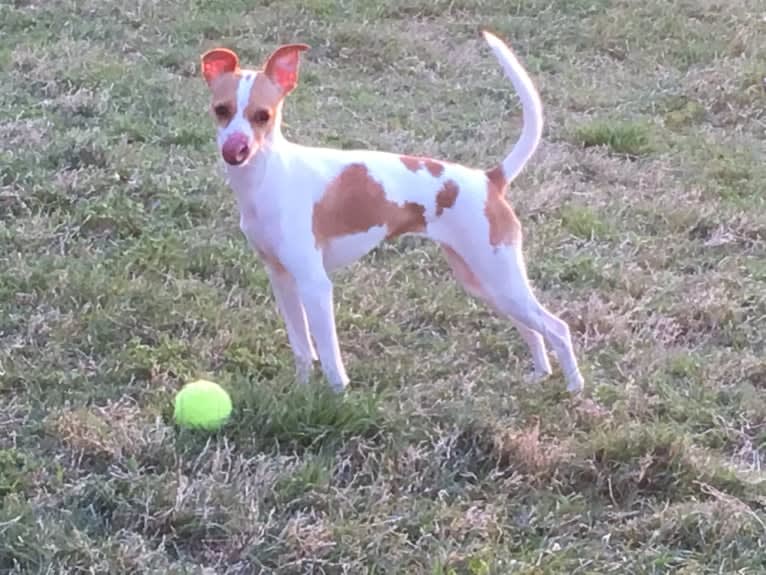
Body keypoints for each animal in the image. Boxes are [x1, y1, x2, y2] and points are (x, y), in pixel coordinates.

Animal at [201, 29, 584, 394]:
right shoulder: (281, 280)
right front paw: (301, 392)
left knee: (557, 327)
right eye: (221, 110)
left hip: (500, 278)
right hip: (485, 283)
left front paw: (338, 397)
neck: (269, 177)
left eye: (262, 116)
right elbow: (302, 349)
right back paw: (540, 374)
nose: (235, 150)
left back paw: (574, 387)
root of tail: (489, 179)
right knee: (531, 328)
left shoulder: (315, 284)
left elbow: (330, 358)